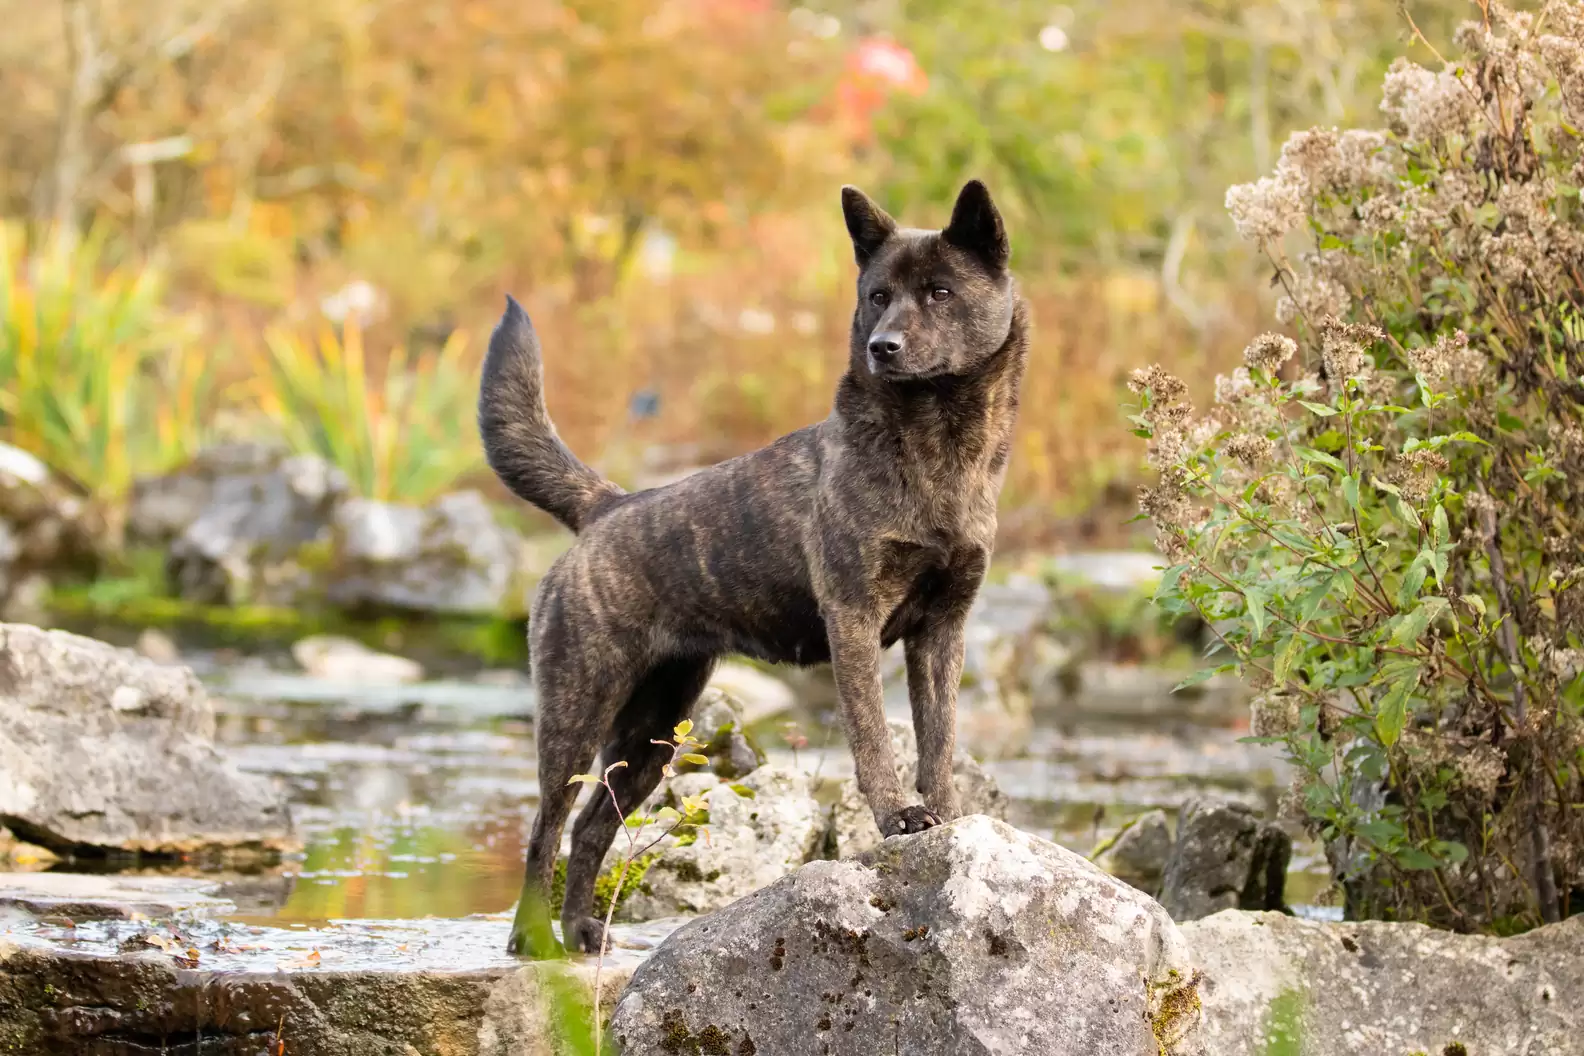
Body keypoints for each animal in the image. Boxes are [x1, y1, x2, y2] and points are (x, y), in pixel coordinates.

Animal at [475, 182, 1032, 956]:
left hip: (653, 732)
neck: (934, 454)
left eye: (940, 291)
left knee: (590, 827)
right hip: (577, 712)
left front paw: (944, 814)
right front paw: (897, 817)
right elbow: (874, 740)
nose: (881, 348)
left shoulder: (942, 631)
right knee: (545, 827)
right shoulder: (854, 622)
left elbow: (938, 739)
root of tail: (608, 506)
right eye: (878, 295)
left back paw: (582, 929)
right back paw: (531, 938)